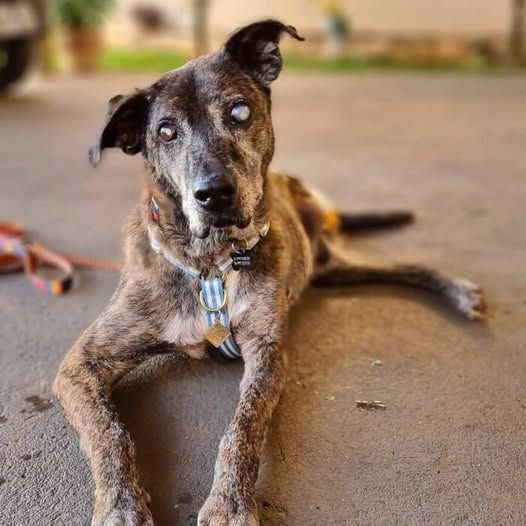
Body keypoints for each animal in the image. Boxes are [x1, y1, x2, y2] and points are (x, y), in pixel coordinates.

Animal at [53, 18, 486, 524]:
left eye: (240, 111)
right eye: (165, 132)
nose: (214, 194)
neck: (210, 265)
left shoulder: (267, 353)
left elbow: (242, 427)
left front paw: (230, 504)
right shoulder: (80, 365)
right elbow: (111, 431)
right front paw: (120, 505)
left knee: (408, 267)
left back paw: (458, 292)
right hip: (331, 270)